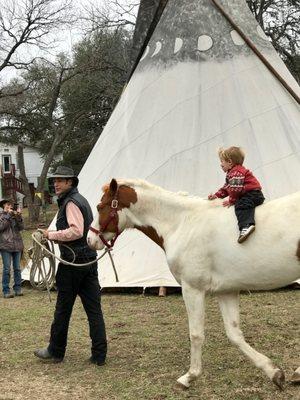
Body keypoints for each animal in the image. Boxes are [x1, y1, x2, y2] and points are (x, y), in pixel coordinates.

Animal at [87, 180, 300, 390]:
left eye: (100, 206)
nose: (90, 239)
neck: (182, 223)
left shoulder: (192, 289)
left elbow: (196, 334)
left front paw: (190, 376)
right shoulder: (226, 291)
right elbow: (234, 334)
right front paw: (274, 373)